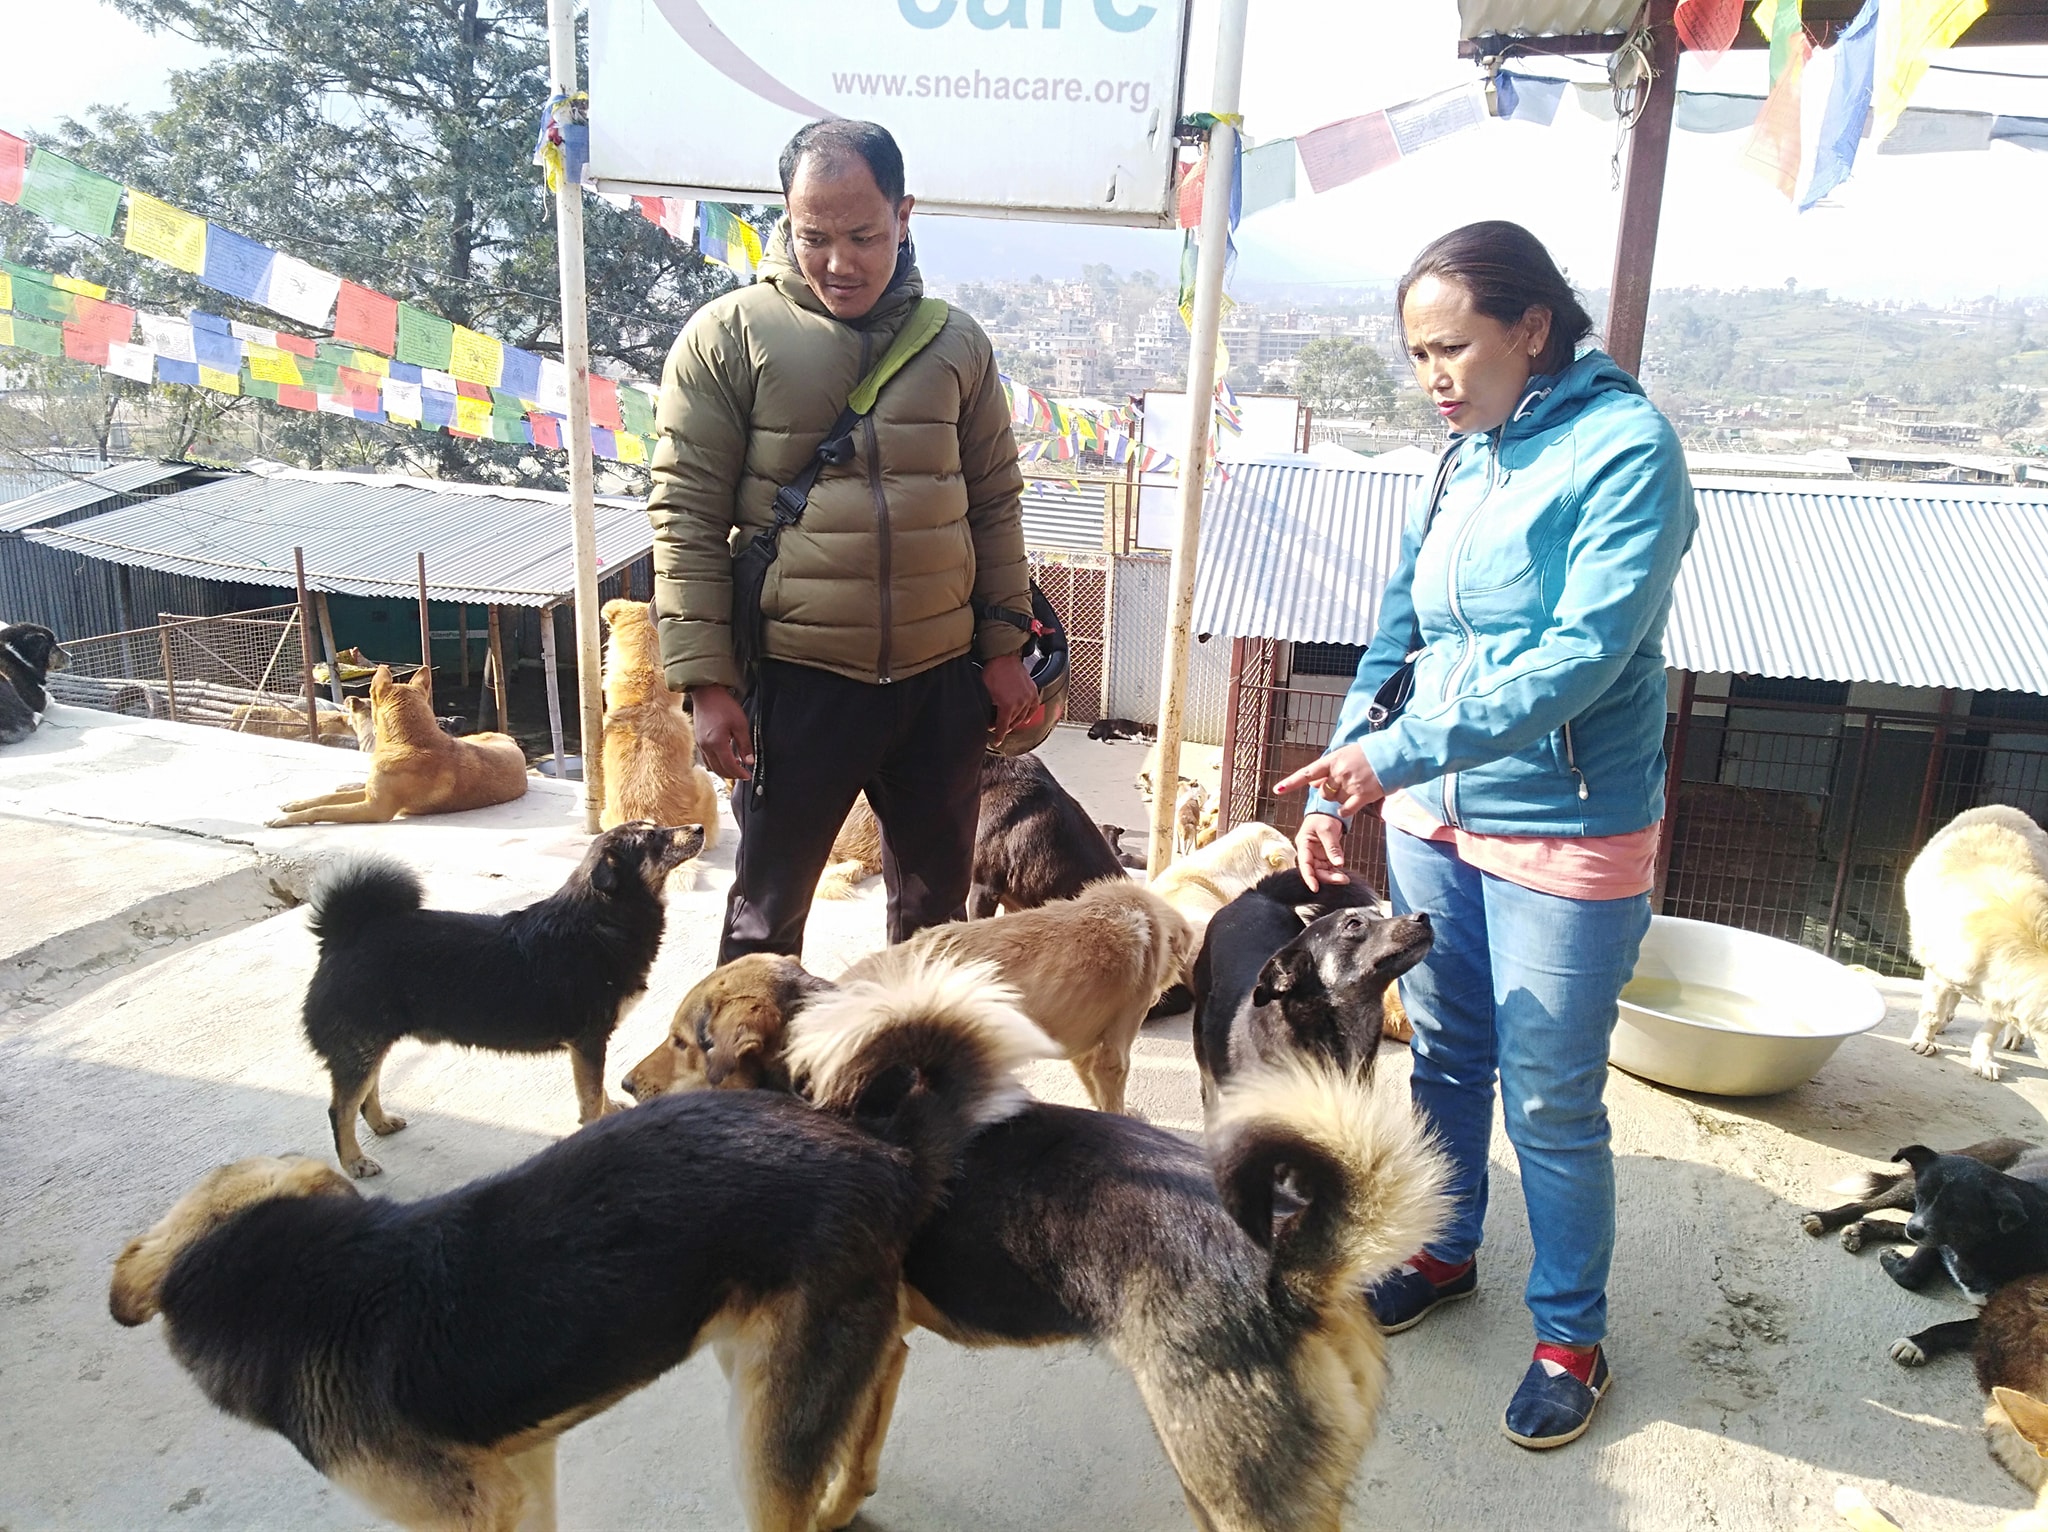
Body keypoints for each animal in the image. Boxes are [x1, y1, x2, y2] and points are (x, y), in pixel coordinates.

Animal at [111, 957, 1053, 1532]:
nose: (629, 1087)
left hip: (761, 1429)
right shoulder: (523, 1471)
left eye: (681, 1038)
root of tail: (887, 1149)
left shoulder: (462, 1508)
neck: (304, 1272)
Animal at [267, 665, 527, 825]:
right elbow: (325, 799)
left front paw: (286, 820)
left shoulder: (374, 808)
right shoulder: (371, 795)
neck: (409, 741)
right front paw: (296, 804)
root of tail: (511, 739)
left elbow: (324, 810)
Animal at [300, 822, 702, 1176]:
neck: (602, 921)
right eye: (653, 838)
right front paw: (596, 1124)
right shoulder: (588, 1041)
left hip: (372, 1044)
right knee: (341, 1109)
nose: (699, 828)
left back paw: (380, 1123)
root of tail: (343, 933)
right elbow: (590, 1095)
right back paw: (354, 1161)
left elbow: (597, 1088)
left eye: (658, 827)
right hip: (361, 1045)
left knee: (368, 1092)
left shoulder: (590, 1044)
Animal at [658, 957, 1452, 1532]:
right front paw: (840, 1512)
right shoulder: (886, 1352)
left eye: (681, 1042)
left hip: (1236, 1490)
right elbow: (856, 1461)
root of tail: (1297, 1275)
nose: (634, 1085)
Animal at [1905, 804, 2048, 1081]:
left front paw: (1983, 1060)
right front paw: (1924, 1040)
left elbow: (1989, 1032)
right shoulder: (1939, 973)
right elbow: (1931, 1012)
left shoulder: (2005, 996)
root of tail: (2006, 808)